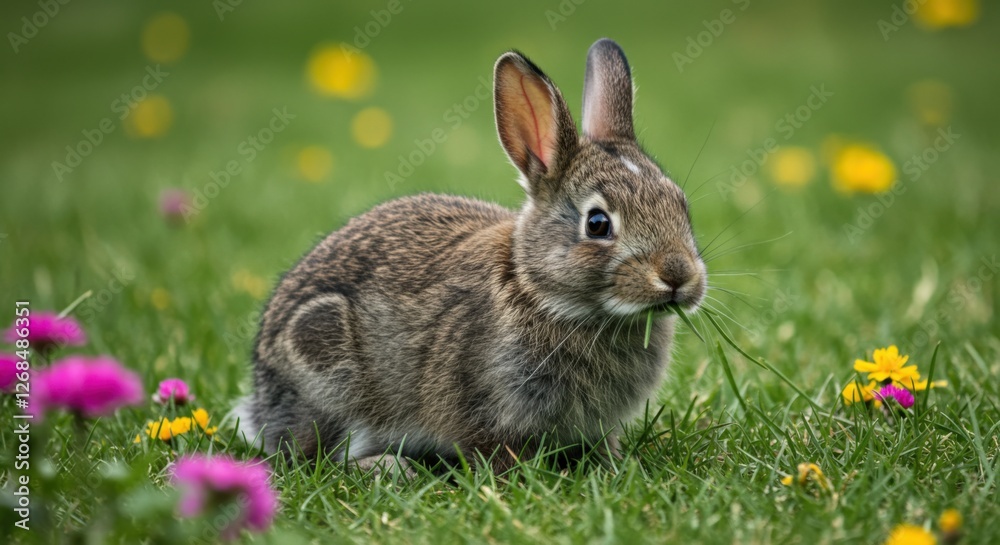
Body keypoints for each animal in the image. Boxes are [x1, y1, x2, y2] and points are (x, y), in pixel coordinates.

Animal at [241, 38, 706, 475]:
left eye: (681, 205)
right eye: (597, 224)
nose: (678, 276)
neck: (540, 293)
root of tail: (260, 398)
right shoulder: (486, 409)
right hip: (325, 364)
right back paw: (389, 468)